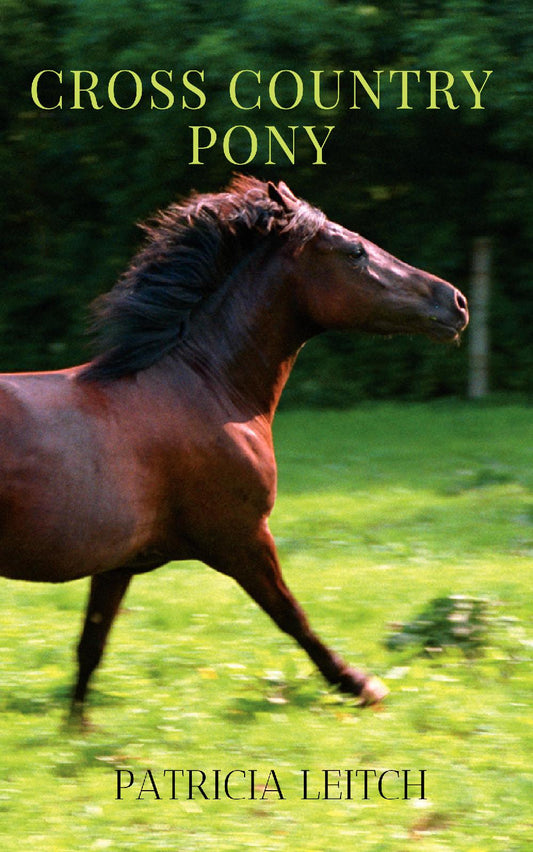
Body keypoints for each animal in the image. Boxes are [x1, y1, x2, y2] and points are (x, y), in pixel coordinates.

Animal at [0, 176, 468, 720]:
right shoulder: (241, 538)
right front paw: (360, 685)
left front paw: (77, 728)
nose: (456, 302)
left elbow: (91, 646)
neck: (206, 385)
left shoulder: (117, 563)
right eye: (354, 251)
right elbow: (293, 617)